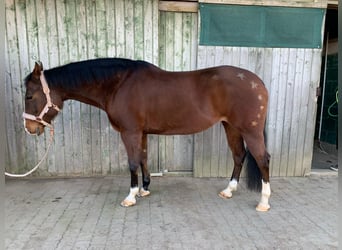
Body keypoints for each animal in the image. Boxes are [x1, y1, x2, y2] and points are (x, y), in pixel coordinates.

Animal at [22, 58, 272, 211]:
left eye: (29, 96)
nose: (30, 128)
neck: (118, 84)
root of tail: (258, 82)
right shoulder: (140, 133)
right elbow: (143, 158)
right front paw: (145, 189)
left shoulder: (129, 132)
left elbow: (133, 162)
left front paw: (131, 196)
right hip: (231, 127)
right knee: (239, 156)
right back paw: (228, 191)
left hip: (249, 130)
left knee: (262, 159)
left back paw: (263, 202)